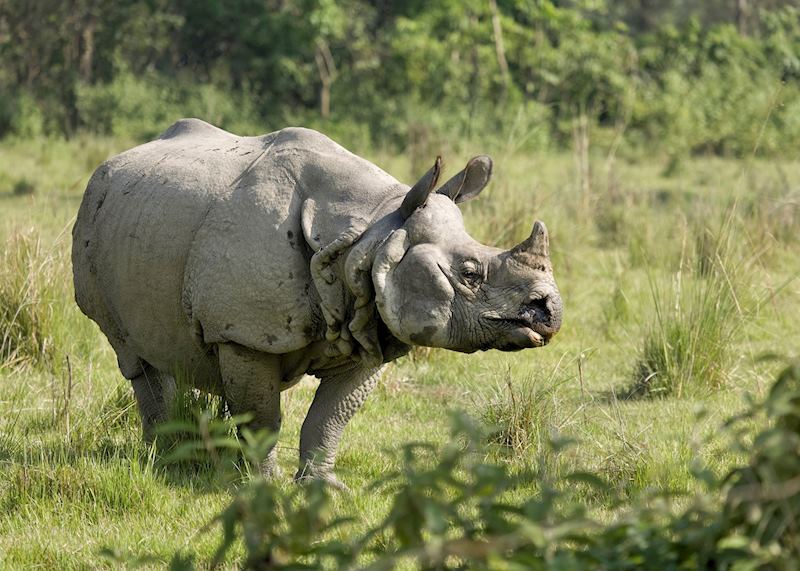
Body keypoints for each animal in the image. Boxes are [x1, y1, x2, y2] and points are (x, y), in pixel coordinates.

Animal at [72, 118, 562, 487]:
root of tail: (110, 164)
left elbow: (330, 419)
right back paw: (167, 459)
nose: (550, 312)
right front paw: (263, 485)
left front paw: (323, 487)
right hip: (98, 218)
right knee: (133, 355)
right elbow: (262, 418)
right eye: (469, 274)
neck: (370, 234)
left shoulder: (370, 323)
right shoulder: (244, 334)